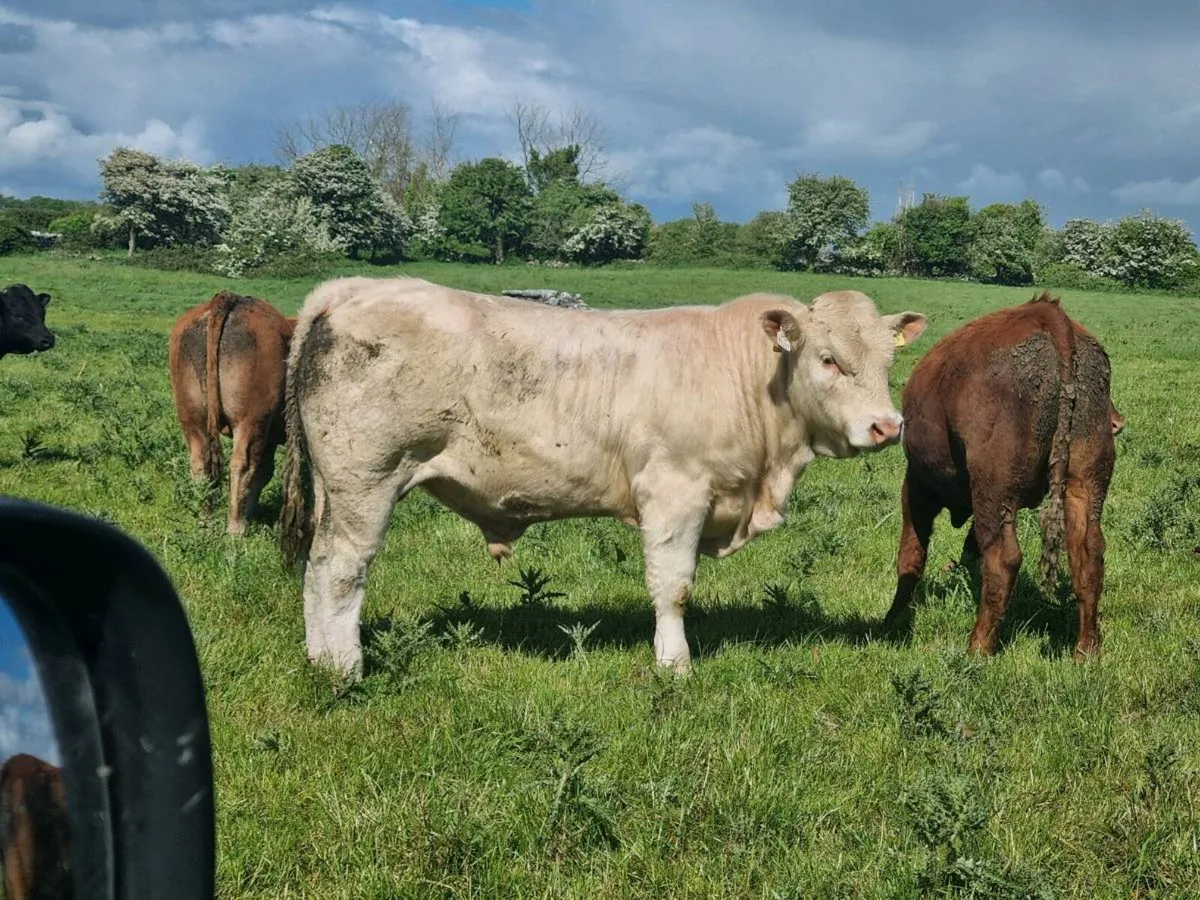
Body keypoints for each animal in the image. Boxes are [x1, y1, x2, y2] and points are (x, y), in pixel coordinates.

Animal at [168, 290, 296, 535]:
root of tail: (234, 299)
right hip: (252, 420)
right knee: (242, 464)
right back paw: (236, 527)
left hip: (192, 418)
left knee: (201, 463)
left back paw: (205, 520)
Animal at [278, 276, 928, 678]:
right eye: (828, 359)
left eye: (886, 361)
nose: (886, 426)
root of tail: (350, 289)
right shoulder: (675, 492)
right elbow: (673, 586)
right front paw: (674, 664)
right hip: (367, 480)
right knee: (341, 571)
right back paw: (346, 670)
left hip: (333, 489)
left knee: (316, 565)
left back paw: (317, 659)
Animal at [883, 290, 1117, 661]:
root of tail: (1050, 318)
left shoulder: (917, 486)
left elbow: (911, 557)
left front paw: (892, 620)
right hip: (1084, 482)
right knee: (1089, 553)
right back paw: (1086, 650)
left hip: (994, 491)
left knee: (1004, 560)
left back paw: (978, 648)